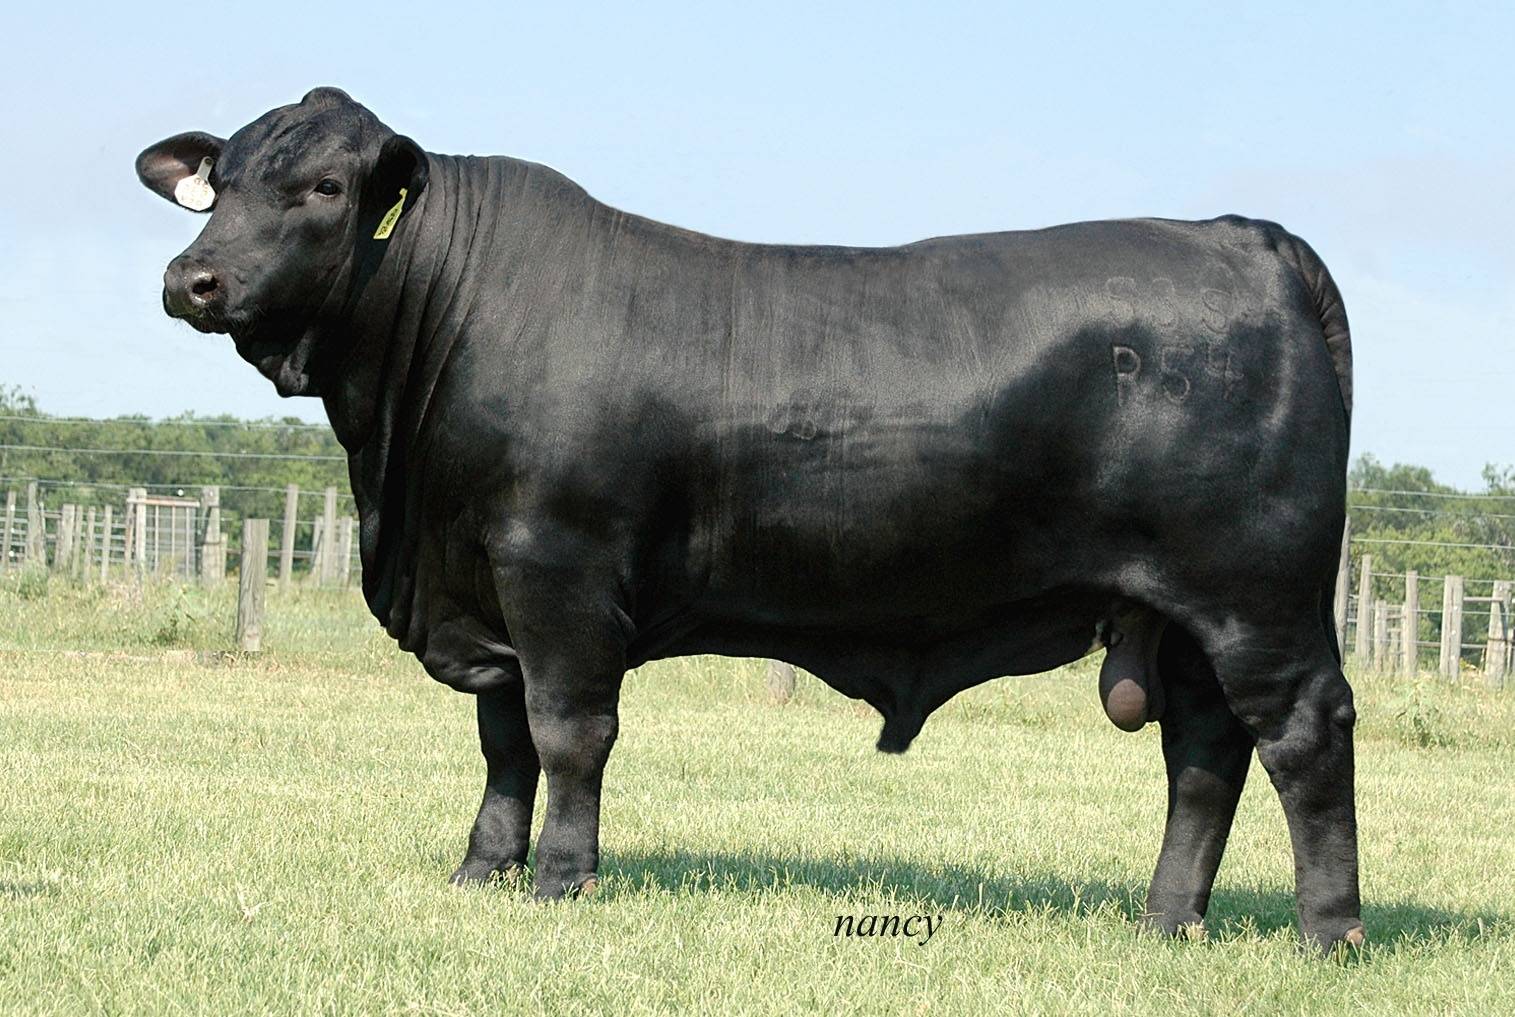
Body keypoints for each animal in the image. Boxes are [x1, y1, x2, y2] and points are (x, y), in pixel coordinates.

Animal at [137, 87, 1362, 952]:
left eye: (324, 188)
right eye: (224, 182)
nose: (191, 280)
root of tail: (1243, 235)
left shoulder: (556, 567)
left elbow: (568, 732)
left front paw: (561, 882)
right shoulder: (488, 584)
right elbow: (504, 739)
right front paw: (483, 871)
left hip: (1255, 595)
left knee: (1302, 733)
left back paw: (1328, 934)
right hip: (1186, 613)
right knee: (1202, 750)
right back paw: (1167, 921)